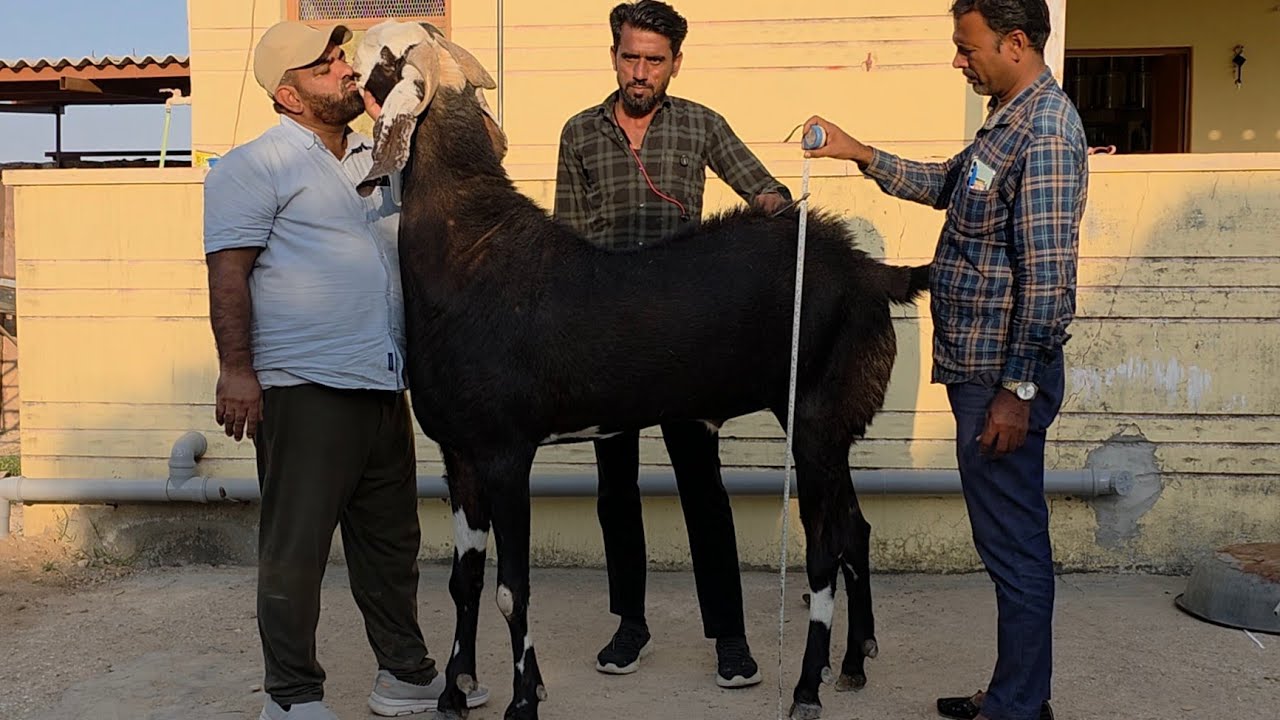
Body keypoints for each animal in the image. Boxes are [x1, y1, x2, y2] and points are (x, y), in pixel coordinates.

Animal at [353, 20, 930, 720]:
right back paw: (852, 663)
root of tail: (873, 272)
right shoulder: (458, 455)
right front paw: (454, 694)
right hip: (837, 424)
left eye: (382, 55)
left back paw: (806, 688)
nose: (341, 61)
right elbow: (463, 581)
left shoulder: (506, 452)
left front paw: (523, 700)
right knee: (856, 530)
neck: (468, 248)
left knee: (823, 552)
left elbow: (511, 589)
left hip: (816, 420)